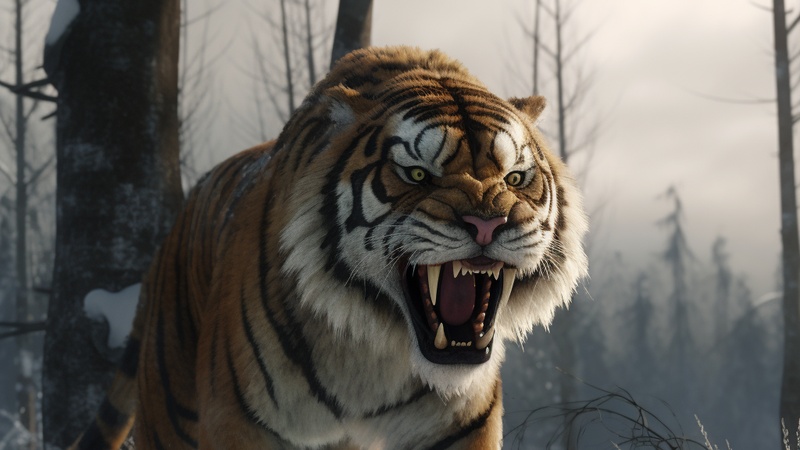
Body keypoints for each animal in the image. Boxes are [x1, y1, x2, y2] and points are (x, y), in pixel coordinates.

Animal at [69, 46, 588, 450]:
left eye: (514, 178)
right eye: (417, 174)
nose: (487, 223)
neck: (375, 352)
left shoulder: (461, 425)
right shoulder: (238, 424)